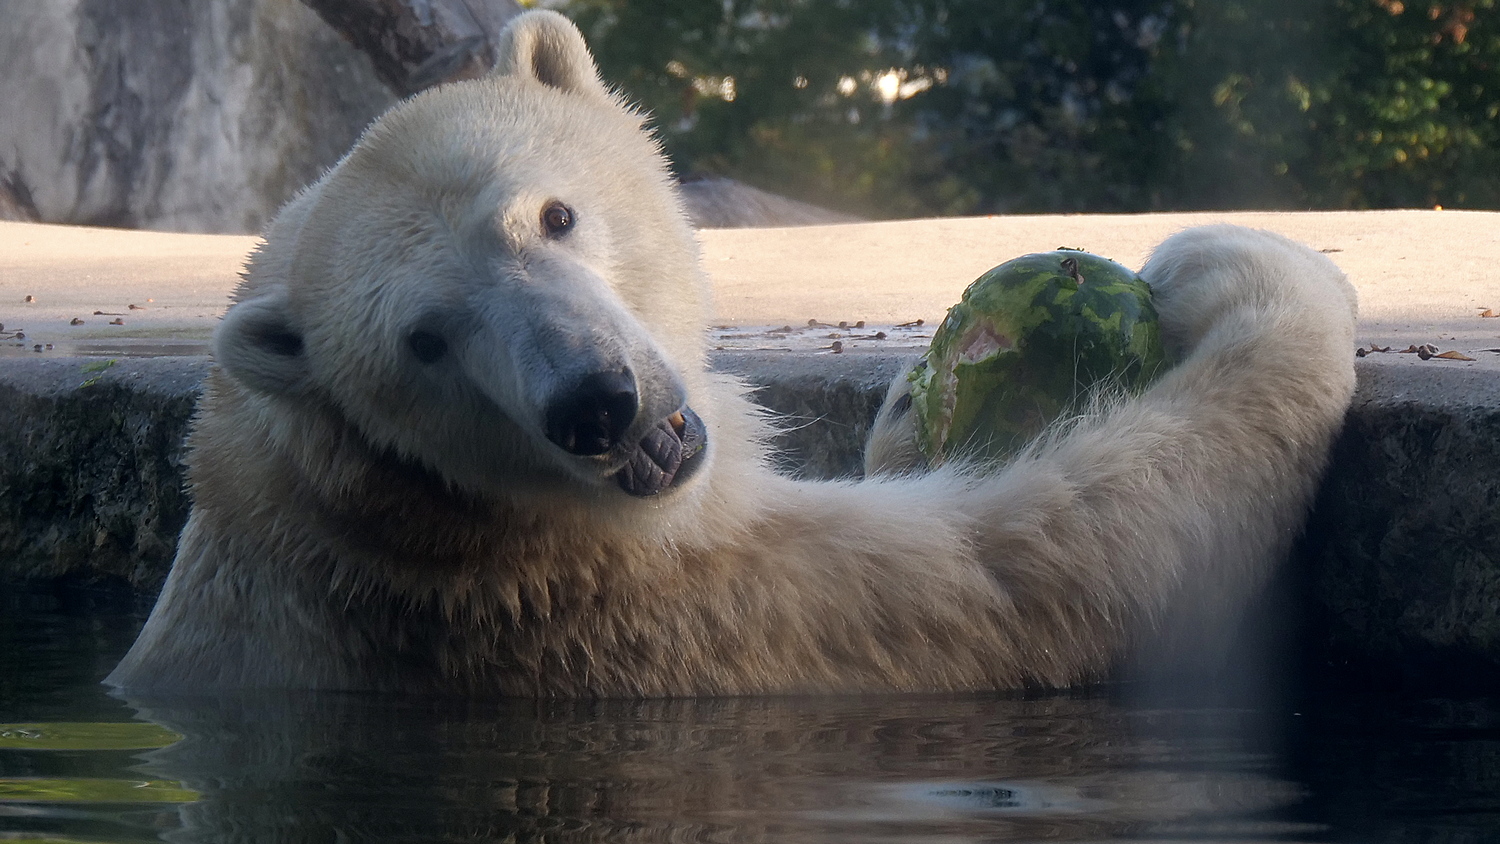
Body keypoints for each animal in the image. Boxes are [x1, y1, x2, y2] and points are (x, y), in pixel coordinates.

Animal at [105, 9, 1362, 695]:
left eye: (551, 214)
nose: (597, 403)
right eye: (425, 338)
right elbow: (1042, 568)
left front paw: (913, 403)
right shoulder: (672, 612)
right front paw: (1238, 268)